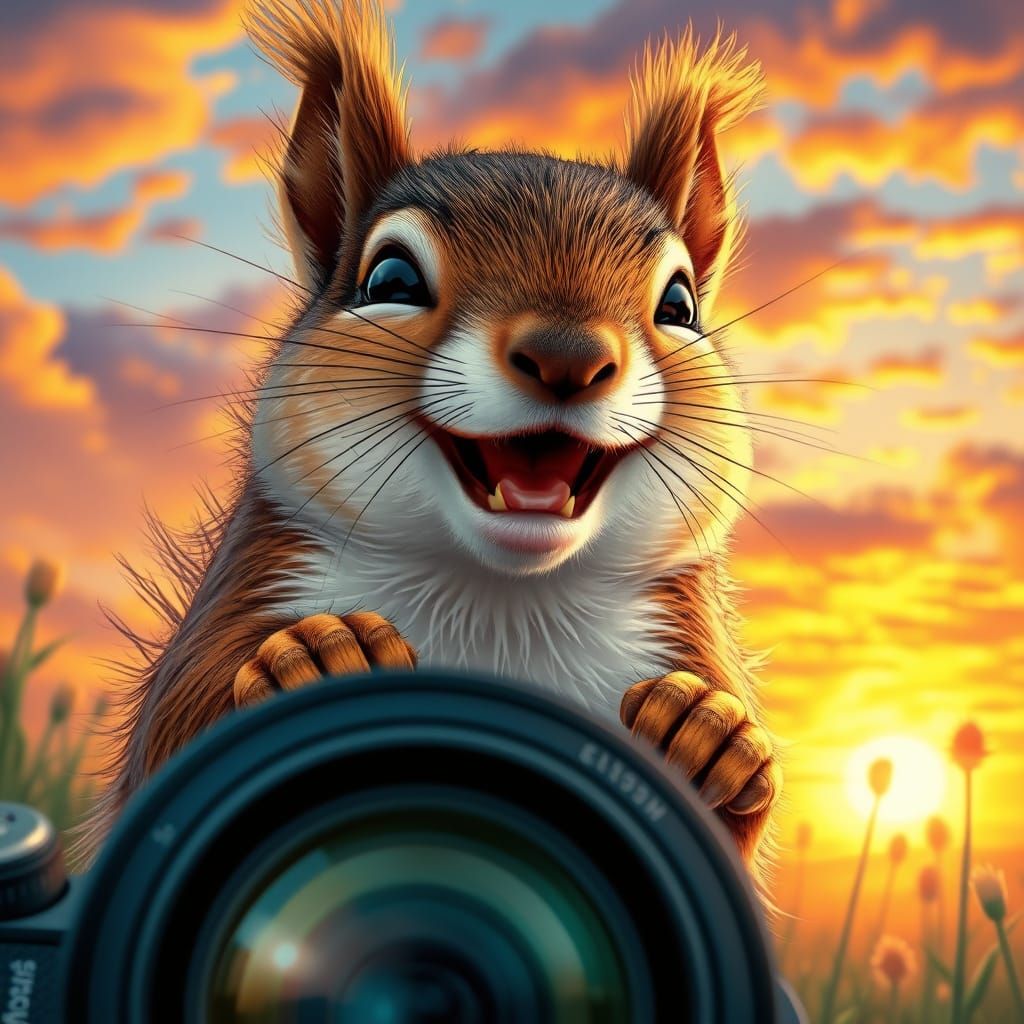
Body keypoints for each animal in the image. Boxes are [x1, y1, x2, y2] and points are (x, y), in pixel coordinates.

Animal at [82, 0, 781, 883]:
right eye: (390, 280)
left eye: (680, 305)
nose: (569, 356)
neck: (501, 597)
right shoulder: (252, 591)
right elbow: (169, 747)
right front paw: (316, 657)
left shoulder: (676, 630)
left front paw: (709, 736)